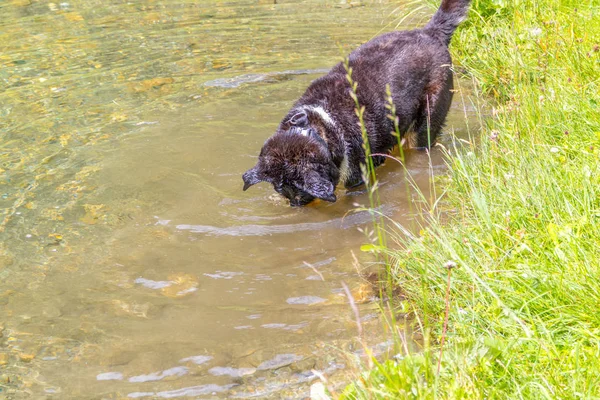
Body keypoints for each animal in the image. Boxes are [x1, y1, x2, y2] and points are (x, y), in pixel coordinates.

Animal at [241, 0, 472, 206]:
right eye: (280, 190)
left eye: (299, 192)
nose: (294, 206)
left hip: (427, 121)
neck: (321, 126)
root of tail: (430, 33)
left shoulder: (357, 178)